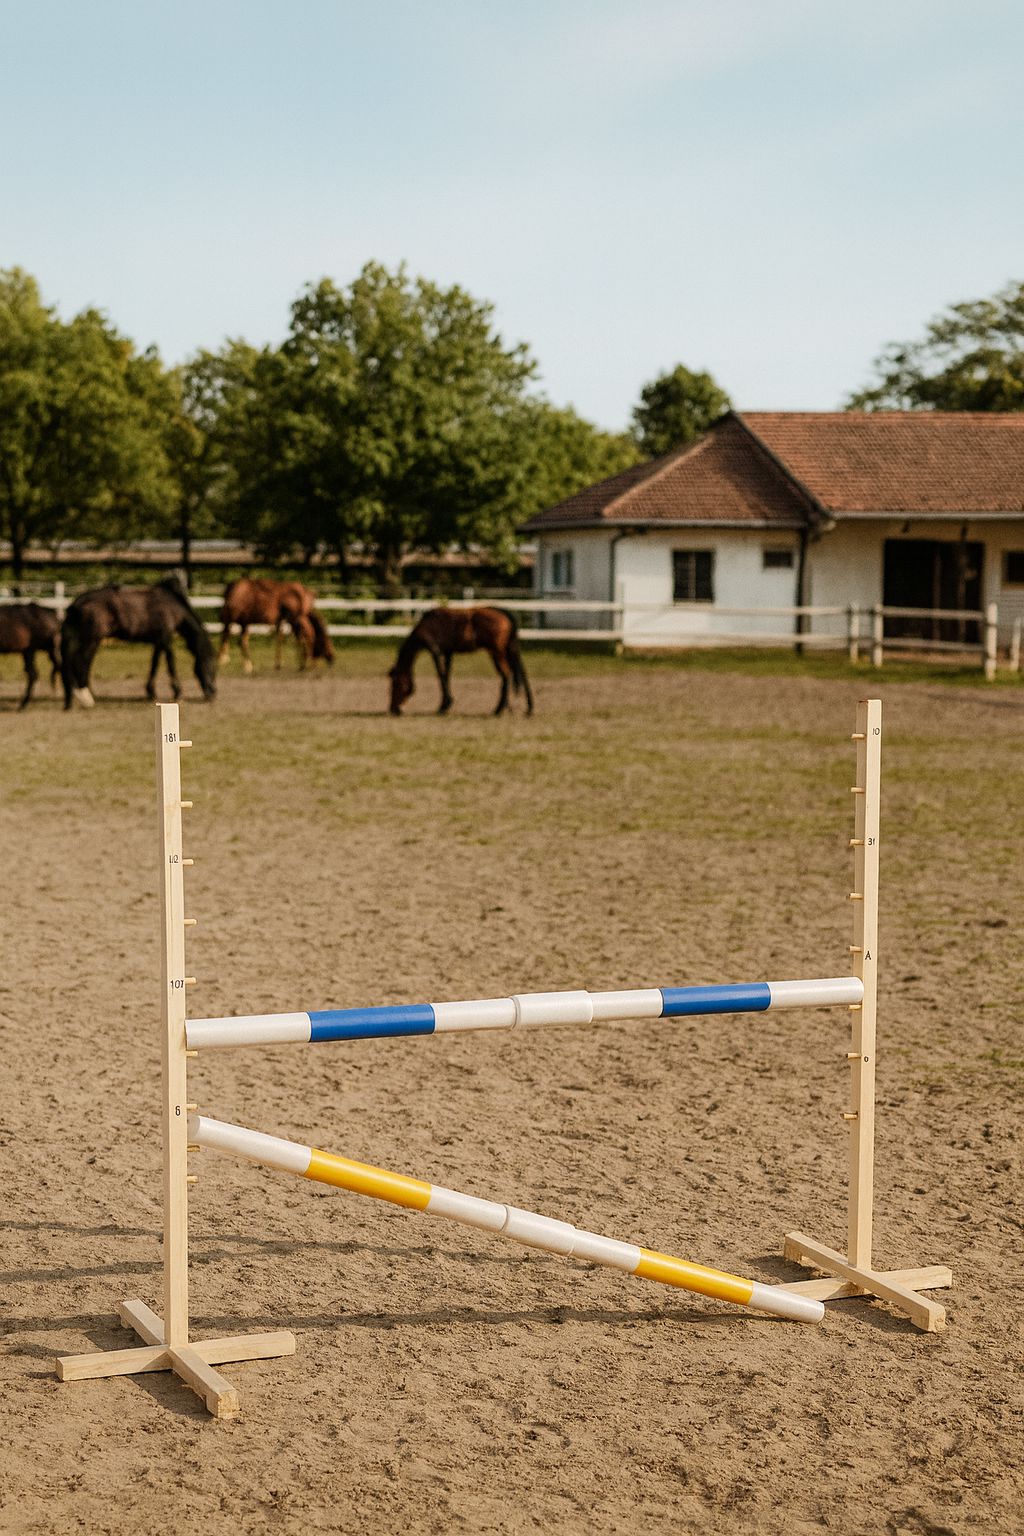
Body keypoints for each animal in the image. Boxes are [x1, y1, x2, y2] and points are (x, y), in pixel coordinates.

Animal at [60, 576, 217, 709]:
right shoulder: (165, 637)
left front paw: (151, 691)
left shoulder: (158, 641)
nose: (213, 693)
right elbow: (170, 662)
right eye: (209, 665)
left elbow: (154, 663)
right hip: (92, 638)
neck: (173, 605)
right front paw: (177, 691)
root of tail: (78, 601)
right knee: (82, 661)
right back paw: (86, 697)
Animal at [388, 607, 534, 717]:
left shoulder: (435, 651)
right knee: (522, 674)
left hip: (497, 652)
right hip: (510, 650)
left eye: (396, 684)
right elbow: (446, 675)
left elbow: (441, 676)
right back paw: (527, 708)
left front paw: (444, 705)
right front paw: (445, 705)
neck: (428, 624)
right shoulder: (448, 652)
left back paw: (499, 709)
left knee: (506, 675)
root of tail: (505, 614)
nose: (393, 709)